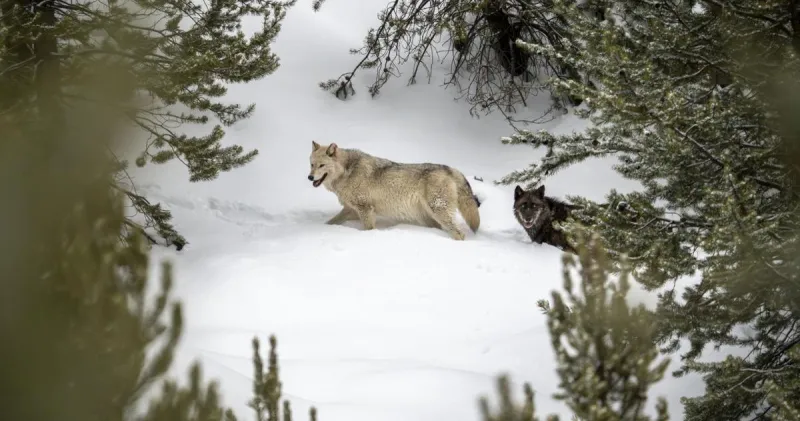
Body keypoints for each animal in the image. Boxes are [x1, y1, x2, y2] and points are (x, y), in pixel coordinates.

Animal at [308, 141, 481, 240]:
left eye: (322, 165)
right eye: (311, 164)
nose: (310, 177)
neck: (347, 170)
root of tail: (451, 169)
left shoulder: (365, 209)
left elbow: (368, 229)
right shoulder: (350, 209)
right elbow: (330, 222)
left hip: (439, 212)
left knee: (459, 234)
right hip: (430, 218)